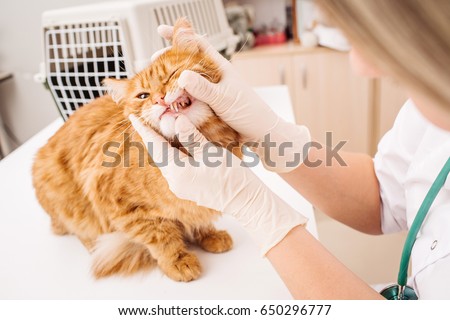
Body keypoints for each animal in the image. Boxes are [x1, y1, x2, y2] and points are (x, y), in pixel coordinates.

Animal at [32, 18, 241, 282]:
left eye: (172, 75)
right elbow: (161, 238)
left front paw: (208, 235)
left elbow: (197, 219)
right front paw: (178, 261)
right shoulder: (123, 207)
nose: (160, 99)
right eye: (143, 96)